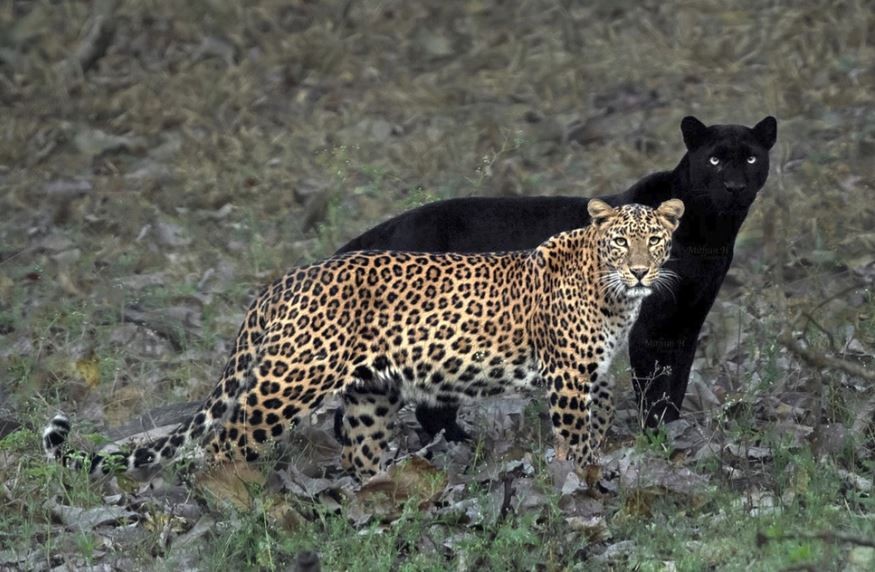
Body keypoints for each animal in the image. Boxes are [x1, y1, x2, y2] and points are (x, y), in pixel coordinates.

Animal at [43, 198, 683, 480]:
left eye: (655, 240)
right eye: (621, 242)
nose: (640, 272)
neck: (613, 294)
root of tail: (280, 283)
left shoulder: (596, 375)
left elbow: (596, 429)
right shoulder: (570, 375)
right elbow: (574, 439)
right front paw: (577, 487)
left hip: (370, 393)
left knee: (360, 450)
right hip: (289, 380)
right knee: (223, 443)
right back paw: (237, 499)